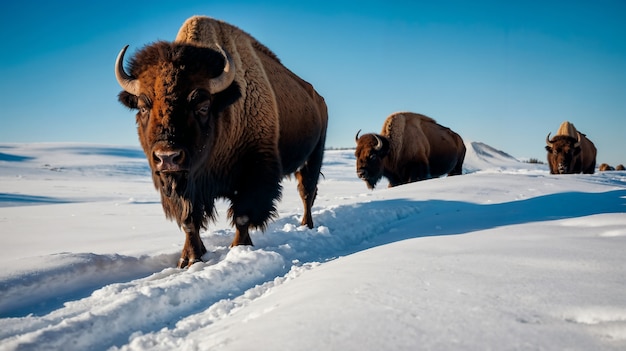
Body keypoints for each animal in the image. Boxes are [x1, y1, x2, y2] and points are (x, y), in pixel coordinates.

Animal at [114, 16, 326, 268]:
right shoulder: (183, 185)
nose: (168, 157)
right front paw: (190, 258)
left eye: (203, 106)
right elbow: (189, 220)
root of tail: (318, 99)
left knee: (307, 192)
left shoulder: (254, 172)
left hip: (314, 155)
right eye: (143, 107)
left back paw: (307, 226)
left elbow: (243, 215)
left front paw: (239, 248)